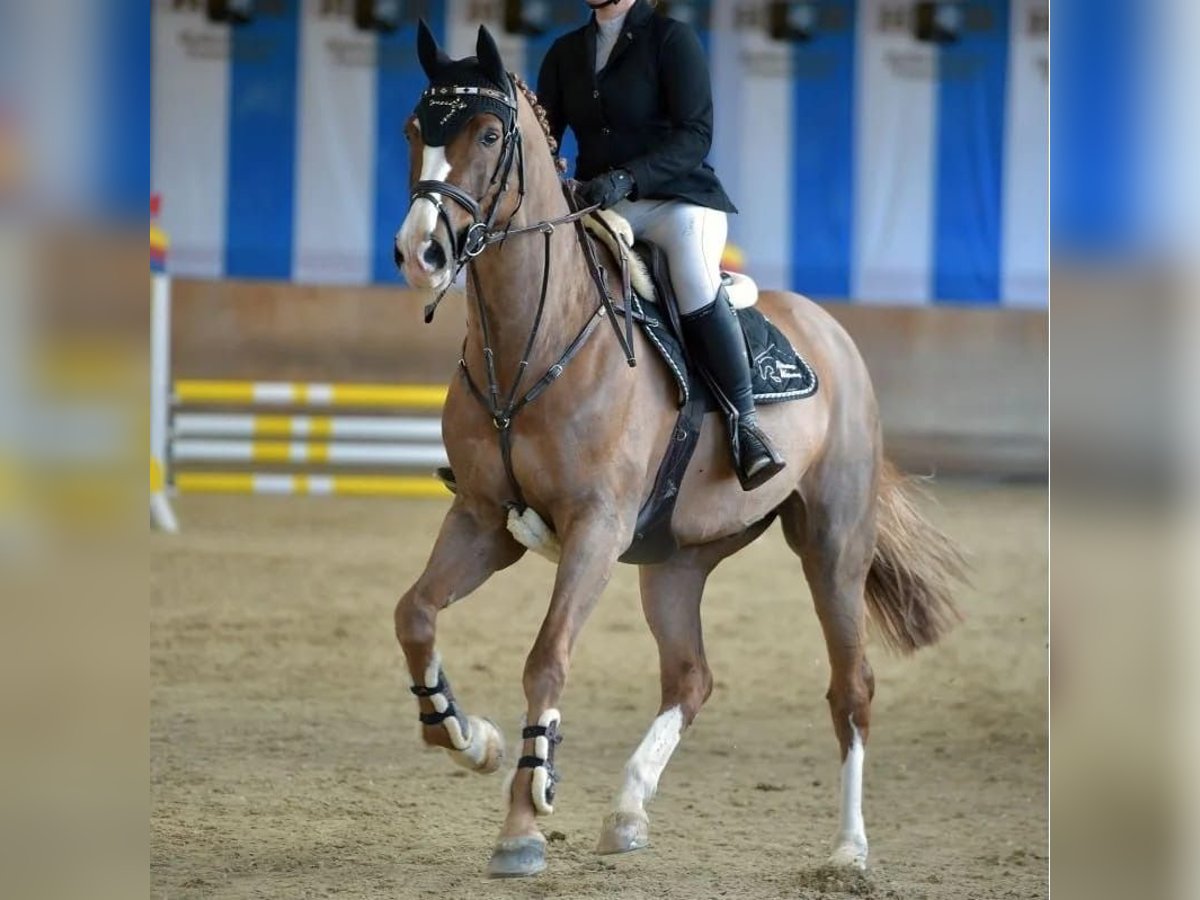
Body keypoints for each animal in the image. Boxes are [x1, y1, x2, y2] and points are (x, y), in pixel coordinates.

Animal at [391, 23, 963, 879]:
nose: (420, 252)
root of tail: (830, 329)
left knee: (851, 687)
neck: (535, 340)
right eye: (412, 131)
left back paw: (847, 850)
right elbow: (416, 615)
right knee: (691, 678)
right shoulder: (485, 521)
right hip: (673, 561)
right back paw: (627, 809)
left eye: (488, 136)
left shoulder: (594, 530)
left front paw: (524, 823)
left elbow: (546, 658)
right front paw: (471, 739)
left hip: (832, 545)